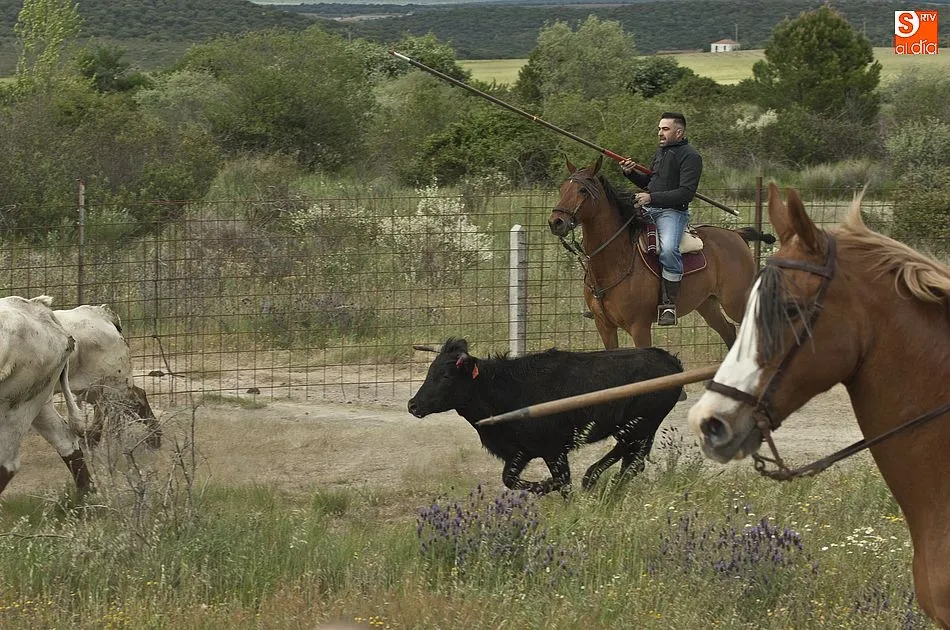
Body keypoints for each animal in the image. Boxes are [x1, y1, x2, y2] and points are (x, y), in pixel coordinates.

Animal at [548, 156, 775, 349]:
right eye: (562, 188)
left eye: (583, 191)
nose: (556, 222)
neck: (616, 261)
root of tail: (737, 234)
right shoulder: (605, 327)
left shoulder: (639, 327)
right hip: (707, 304)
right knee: (729, 333)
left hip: (736, 302)